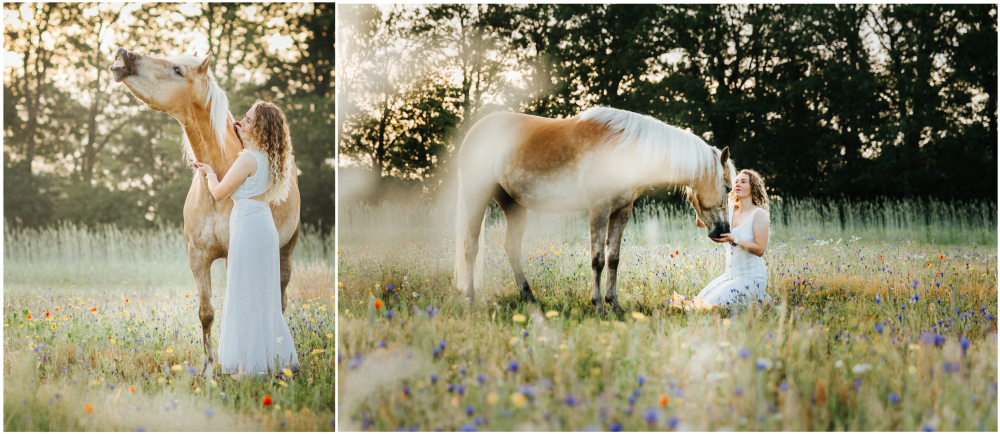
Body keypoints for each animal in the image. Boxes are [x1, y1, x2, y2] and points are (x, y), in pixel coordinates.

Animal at [109, 48, 301, 373]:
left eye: (177, 69)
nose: (125, 54)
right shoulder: (197, 257)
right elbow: (206, 312)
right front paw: (208, 367)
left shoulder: (234, 255)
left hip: (285, 251)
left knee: (280, 299)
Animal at [454, 107, 734, 315]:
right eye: (728, 188)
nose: (723, 231)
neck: (622, 149)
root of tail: (475, 131)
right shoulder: (598, 209)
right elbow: (598, 259)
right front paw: (598, 305)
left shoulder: (622, 210)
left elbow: (613, 258)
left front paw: (615, 304)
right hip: (476, 197)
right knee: (471, 247)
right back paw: (470, 298)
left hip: (513, 205)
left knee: (511, 248)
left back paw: (529, 297)